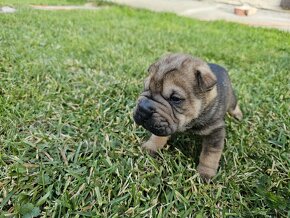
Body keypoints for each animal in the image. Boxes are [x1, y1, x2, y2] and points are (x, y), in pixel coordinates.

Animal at [134, 53, 242, 181]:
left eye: (175, 99)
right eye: (146, 88)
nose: (143, 109)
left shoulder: (215, 131)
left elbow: (210, 154)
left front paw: (205, 174)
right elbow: (157, 136)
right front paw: (151, 147)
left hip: (231, 99)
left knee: (234, 106)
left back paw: (238, 115)